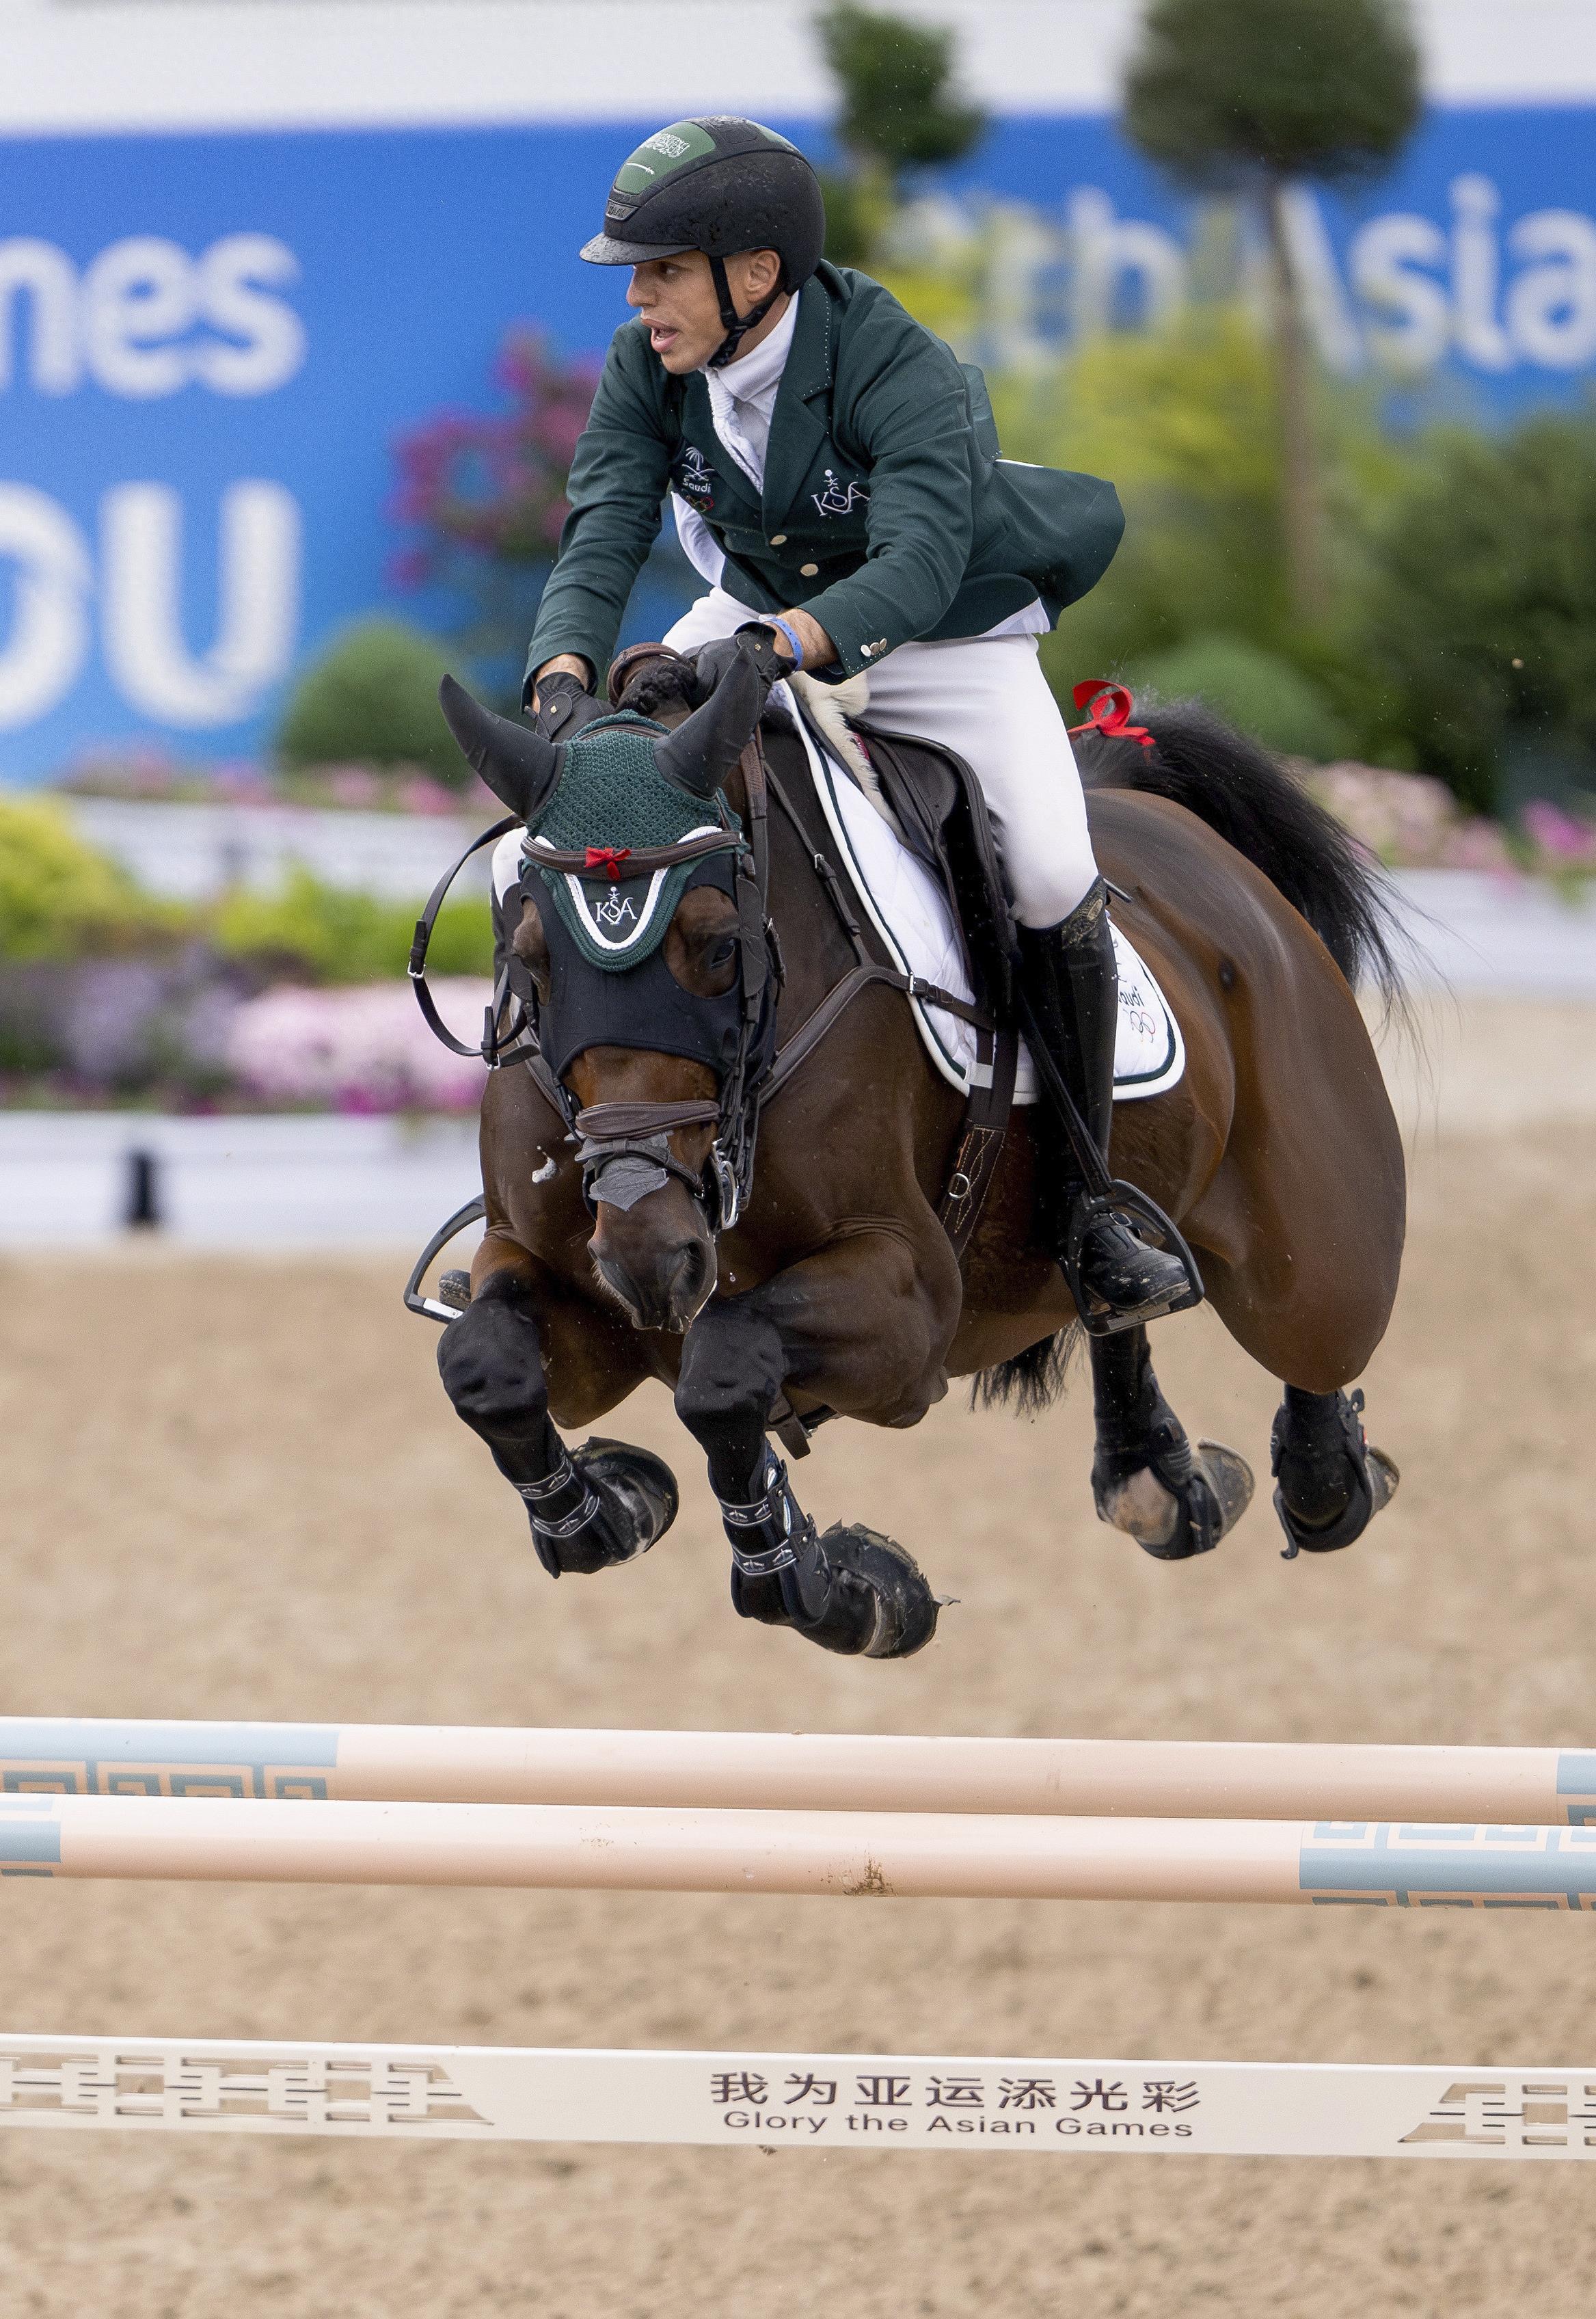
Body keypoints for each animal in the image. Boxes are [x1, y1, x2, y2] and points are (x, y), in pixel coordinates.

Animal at [420, 644, 1392, 1660]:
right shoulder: (574, 1299)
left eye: (719, 947)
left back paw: (1324, 1474)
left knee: (1316, 1336)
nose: (649, 1260)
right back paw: (1149, 1466)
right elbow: (485, 1363)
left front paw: (837, 1589)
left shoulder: (911, 1303)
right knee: (1114, 1308)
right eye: (527, 953)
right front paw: (613, 1502)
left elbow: (724, 1366)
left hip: (1317, 1247)